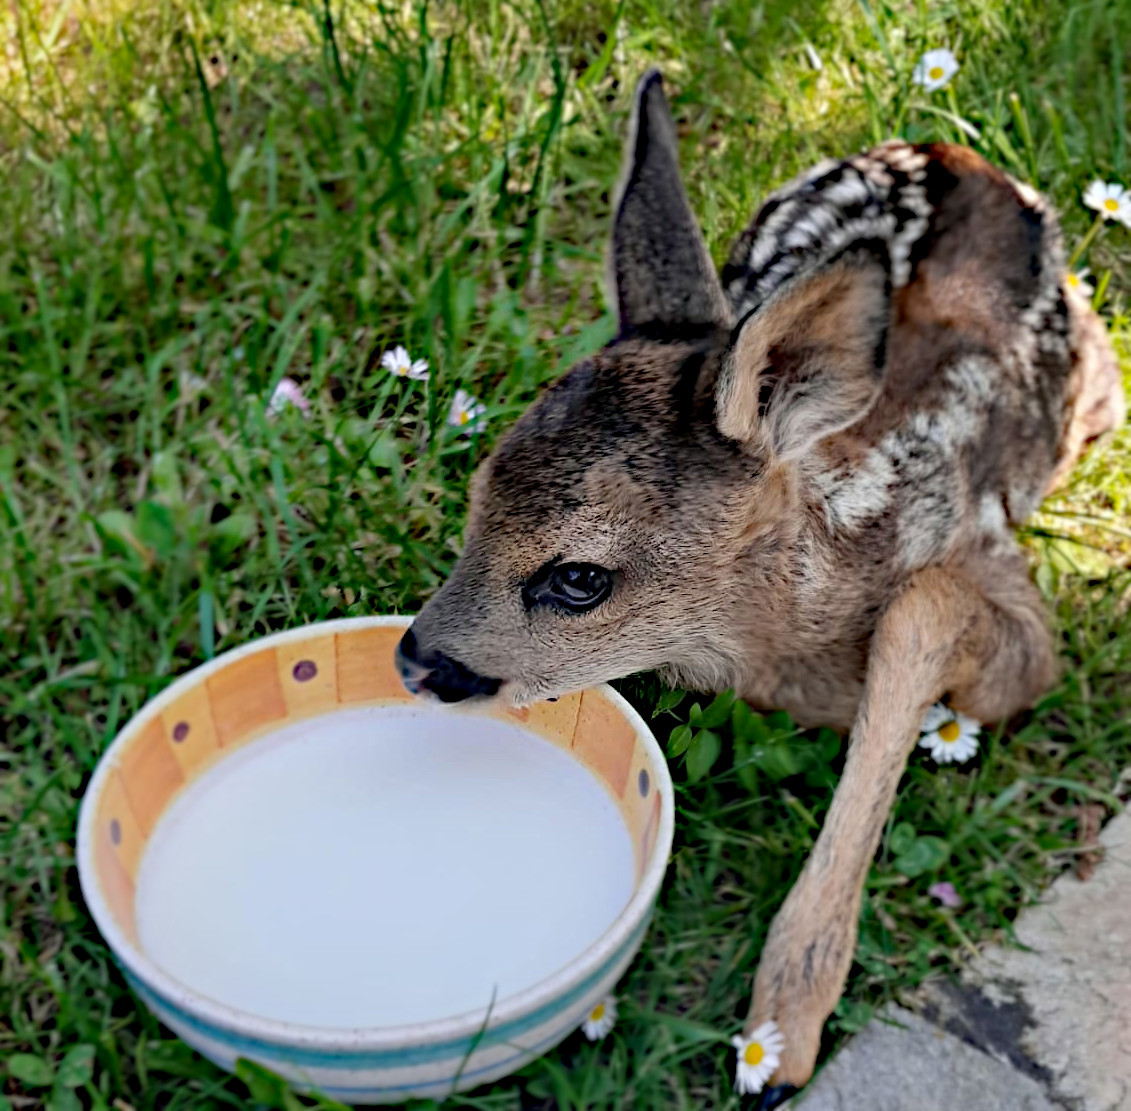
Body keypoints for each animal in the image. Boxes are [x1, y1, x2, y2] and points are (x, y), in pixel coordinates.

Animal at [395, 71, 1121, 1104]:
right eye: (475, 501)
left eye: (578, 577)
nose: (416, 659)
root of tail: (960, 156)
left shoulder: (1013, 600)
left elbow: (924, 608)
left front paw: (783, 1033)